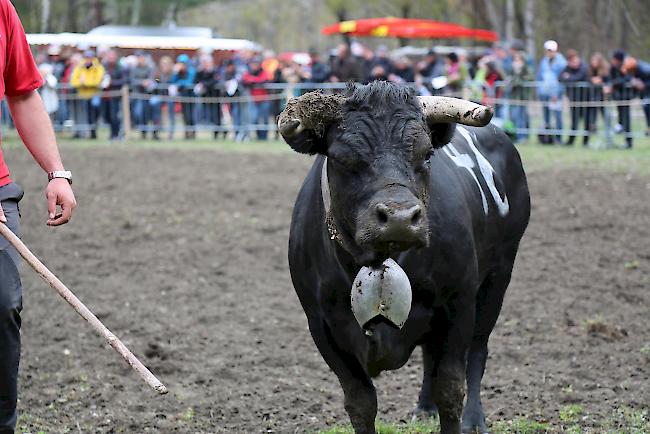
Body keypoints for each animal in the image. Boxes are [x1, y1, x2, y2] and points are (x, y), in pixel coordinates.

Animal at [278, 82, 528, 434]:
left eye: (426, 154)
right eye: (341, 157)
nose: (399, 217)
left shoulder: (458, 306)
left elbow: (450, 389)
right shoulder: (322, 325)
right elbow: (361, 402)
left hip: (498, 276)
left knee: (478, 351)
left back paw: (474, 419)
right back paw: (423, 408)